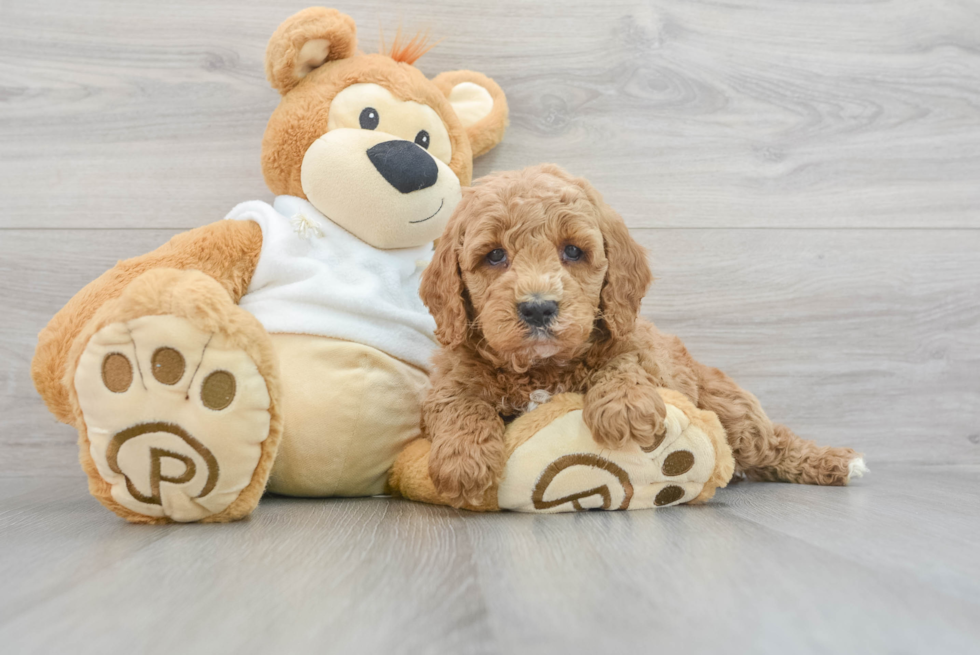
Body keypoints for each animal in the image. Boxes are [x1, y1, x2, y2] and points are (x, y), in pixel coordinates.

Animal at [422, 164, 864, 508]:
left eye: (572, 251)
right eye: (495, 255)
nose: (538, 308)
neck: (541, 368)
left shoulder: (638, 345)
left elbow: (625, 360)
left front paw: (624, 405)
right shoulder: (450, 373)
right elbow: (459, 402)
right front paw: (463, 461)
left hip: (733, 413)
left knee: (774, 442)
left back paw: (837, 462)